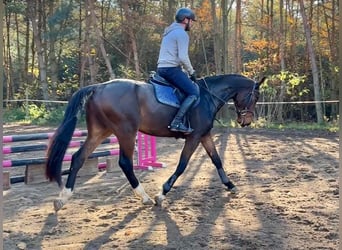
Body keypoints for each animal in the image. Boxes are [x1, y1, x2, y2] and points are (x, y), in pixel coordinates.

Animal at [44, 73, 264, 211]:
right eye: (255, 97)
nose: (246, 122)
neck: (206, 98)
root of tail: (99, 87)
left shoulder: (204, 135)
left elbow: (217, 160)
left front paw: (231, 185)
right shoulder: (194, 137)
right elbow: (182, 165)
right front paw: (162, 194)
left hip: (100, 131)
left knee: (78, 158)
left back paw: (63, 198)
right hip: (126, 132)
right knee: (125, 163)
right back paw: (145, 197)